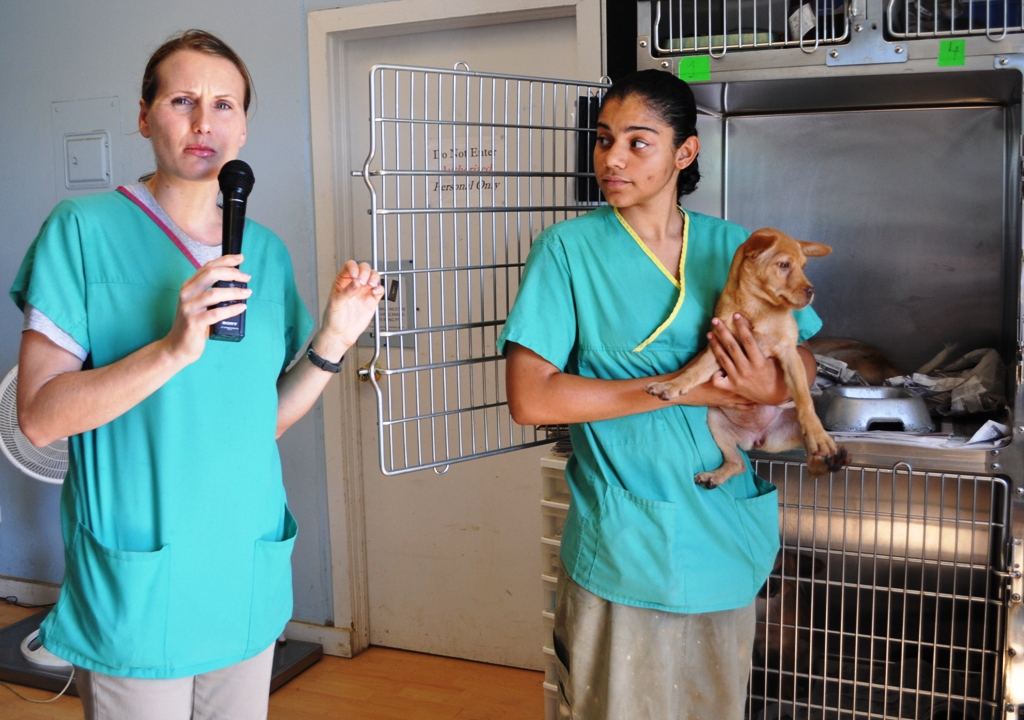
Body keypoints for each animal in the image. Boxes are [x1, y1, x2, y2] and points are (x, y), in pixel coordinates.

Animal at [647, 229, 847, 489]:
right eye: (784, 265)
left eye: (804, 266)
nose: (811, 291)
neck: (757, 307)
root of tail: (758, 438)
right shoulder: (718, 348)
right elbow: (693, 371)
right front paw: (670, 385)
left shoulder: (789, 354)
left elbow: (804, 399)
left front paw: (818, 434)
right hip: (715, 421)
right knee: (738, 463)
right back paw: (713, 476)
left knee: (811, 465)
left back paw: (828, 458)